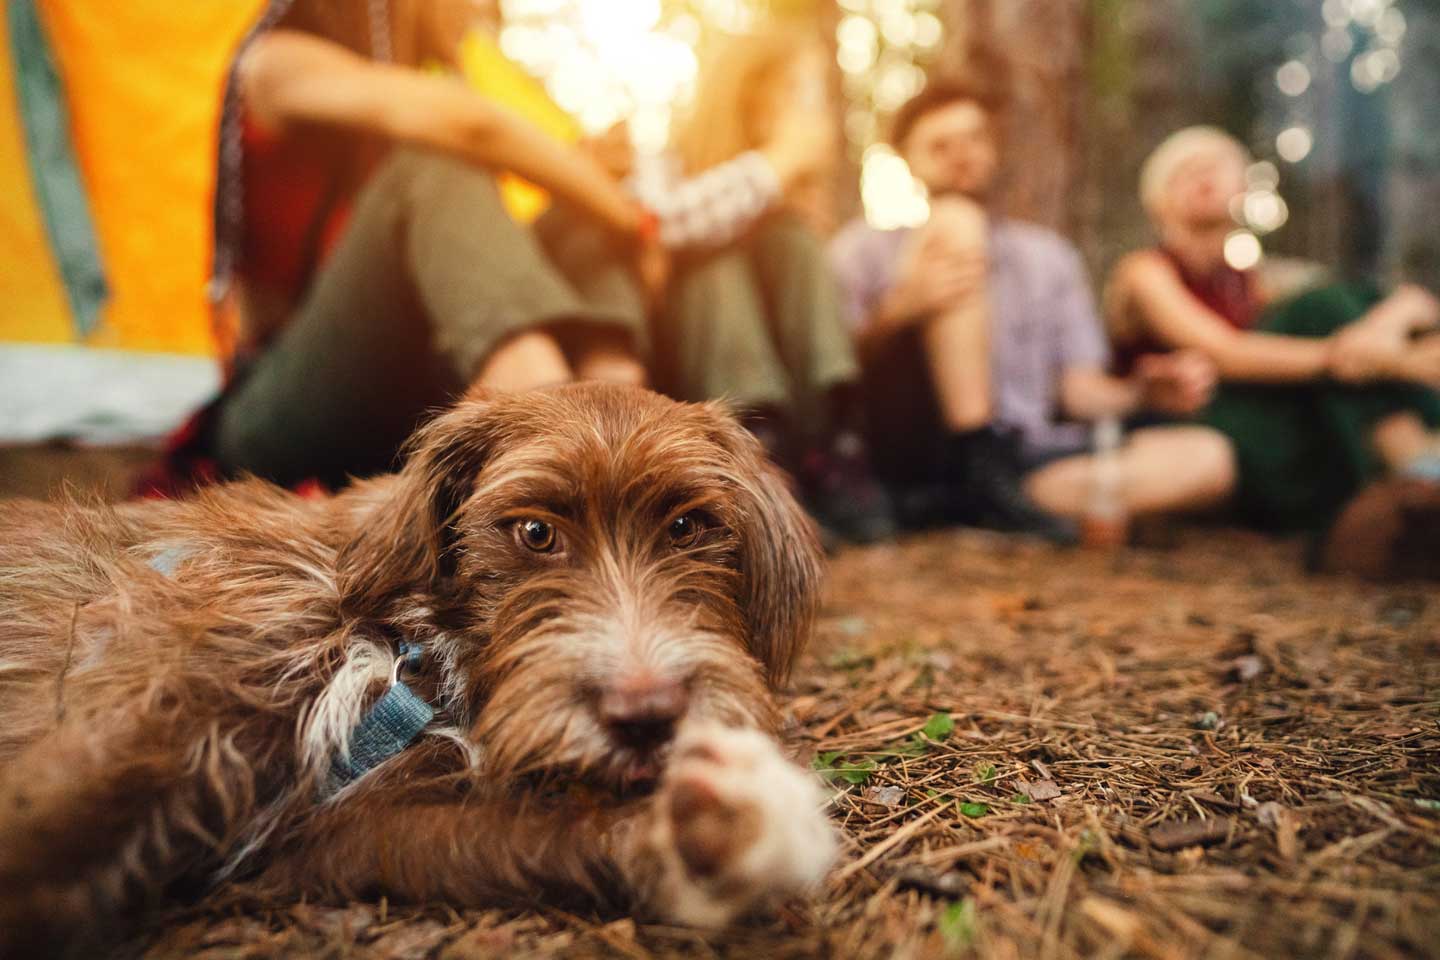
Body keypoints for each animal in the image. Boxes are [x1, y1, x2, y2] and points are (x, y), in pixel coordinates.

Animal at [0, 382, 840, 955]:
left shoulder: (336, 830)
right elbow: (46, 830)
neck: (411, 647)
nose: (646, 716)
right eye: (535, 532)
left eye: (690, 526)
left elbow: (516, 831)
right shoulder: (164, 705)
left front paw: (707, 830)